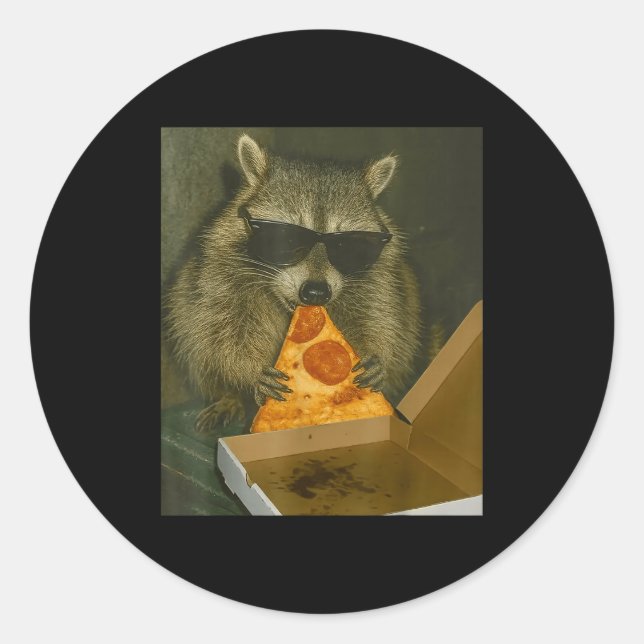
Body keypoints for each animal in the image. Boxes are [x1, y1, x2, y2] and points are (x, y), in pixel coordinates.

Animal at [165, 134, 421, 431]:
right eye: (286, 239)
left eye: (348, 245)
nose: (316, 292)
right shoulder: (219, 279)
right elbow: (221, 335)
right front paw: (247, 368)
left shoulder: (380, 280)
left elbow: (379, 322)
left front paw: (375, 354)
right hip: (184, 293)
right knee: (194, 338)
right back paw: (227, 395)